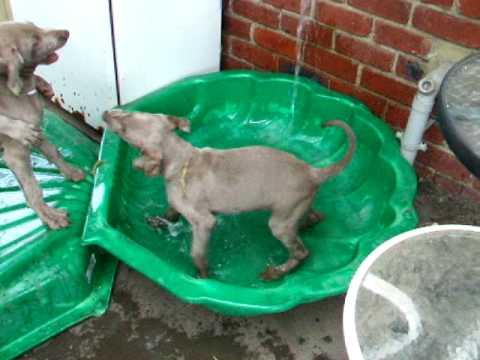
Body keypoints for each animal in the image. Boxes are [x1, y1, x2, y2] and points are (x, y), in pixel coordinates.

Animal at [0, 21, 85, 228]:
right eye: (35, 42)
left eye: (34, 24)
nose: (66, 32)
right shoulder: (16, 153)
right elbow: (33, 189)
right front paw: (48, 215)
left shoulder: (37, 130)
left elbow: (53, 151)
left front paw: (69, 171)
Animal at [103, 109, 354, 282]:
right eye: (131, 112)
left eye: (125, 128)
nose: (106, 112)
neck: (183, 161)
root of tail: (313, 172)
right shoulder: (179, 206)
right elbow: (171, 214)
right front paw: (158, 222)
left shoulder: (204, 221)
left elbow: (197, 252)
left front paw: (203, 275)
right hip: (293, 208)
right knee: (314, 217)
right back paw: (305, 226)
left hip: (280, 221)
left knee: (302, 252)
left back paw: (275, 272)